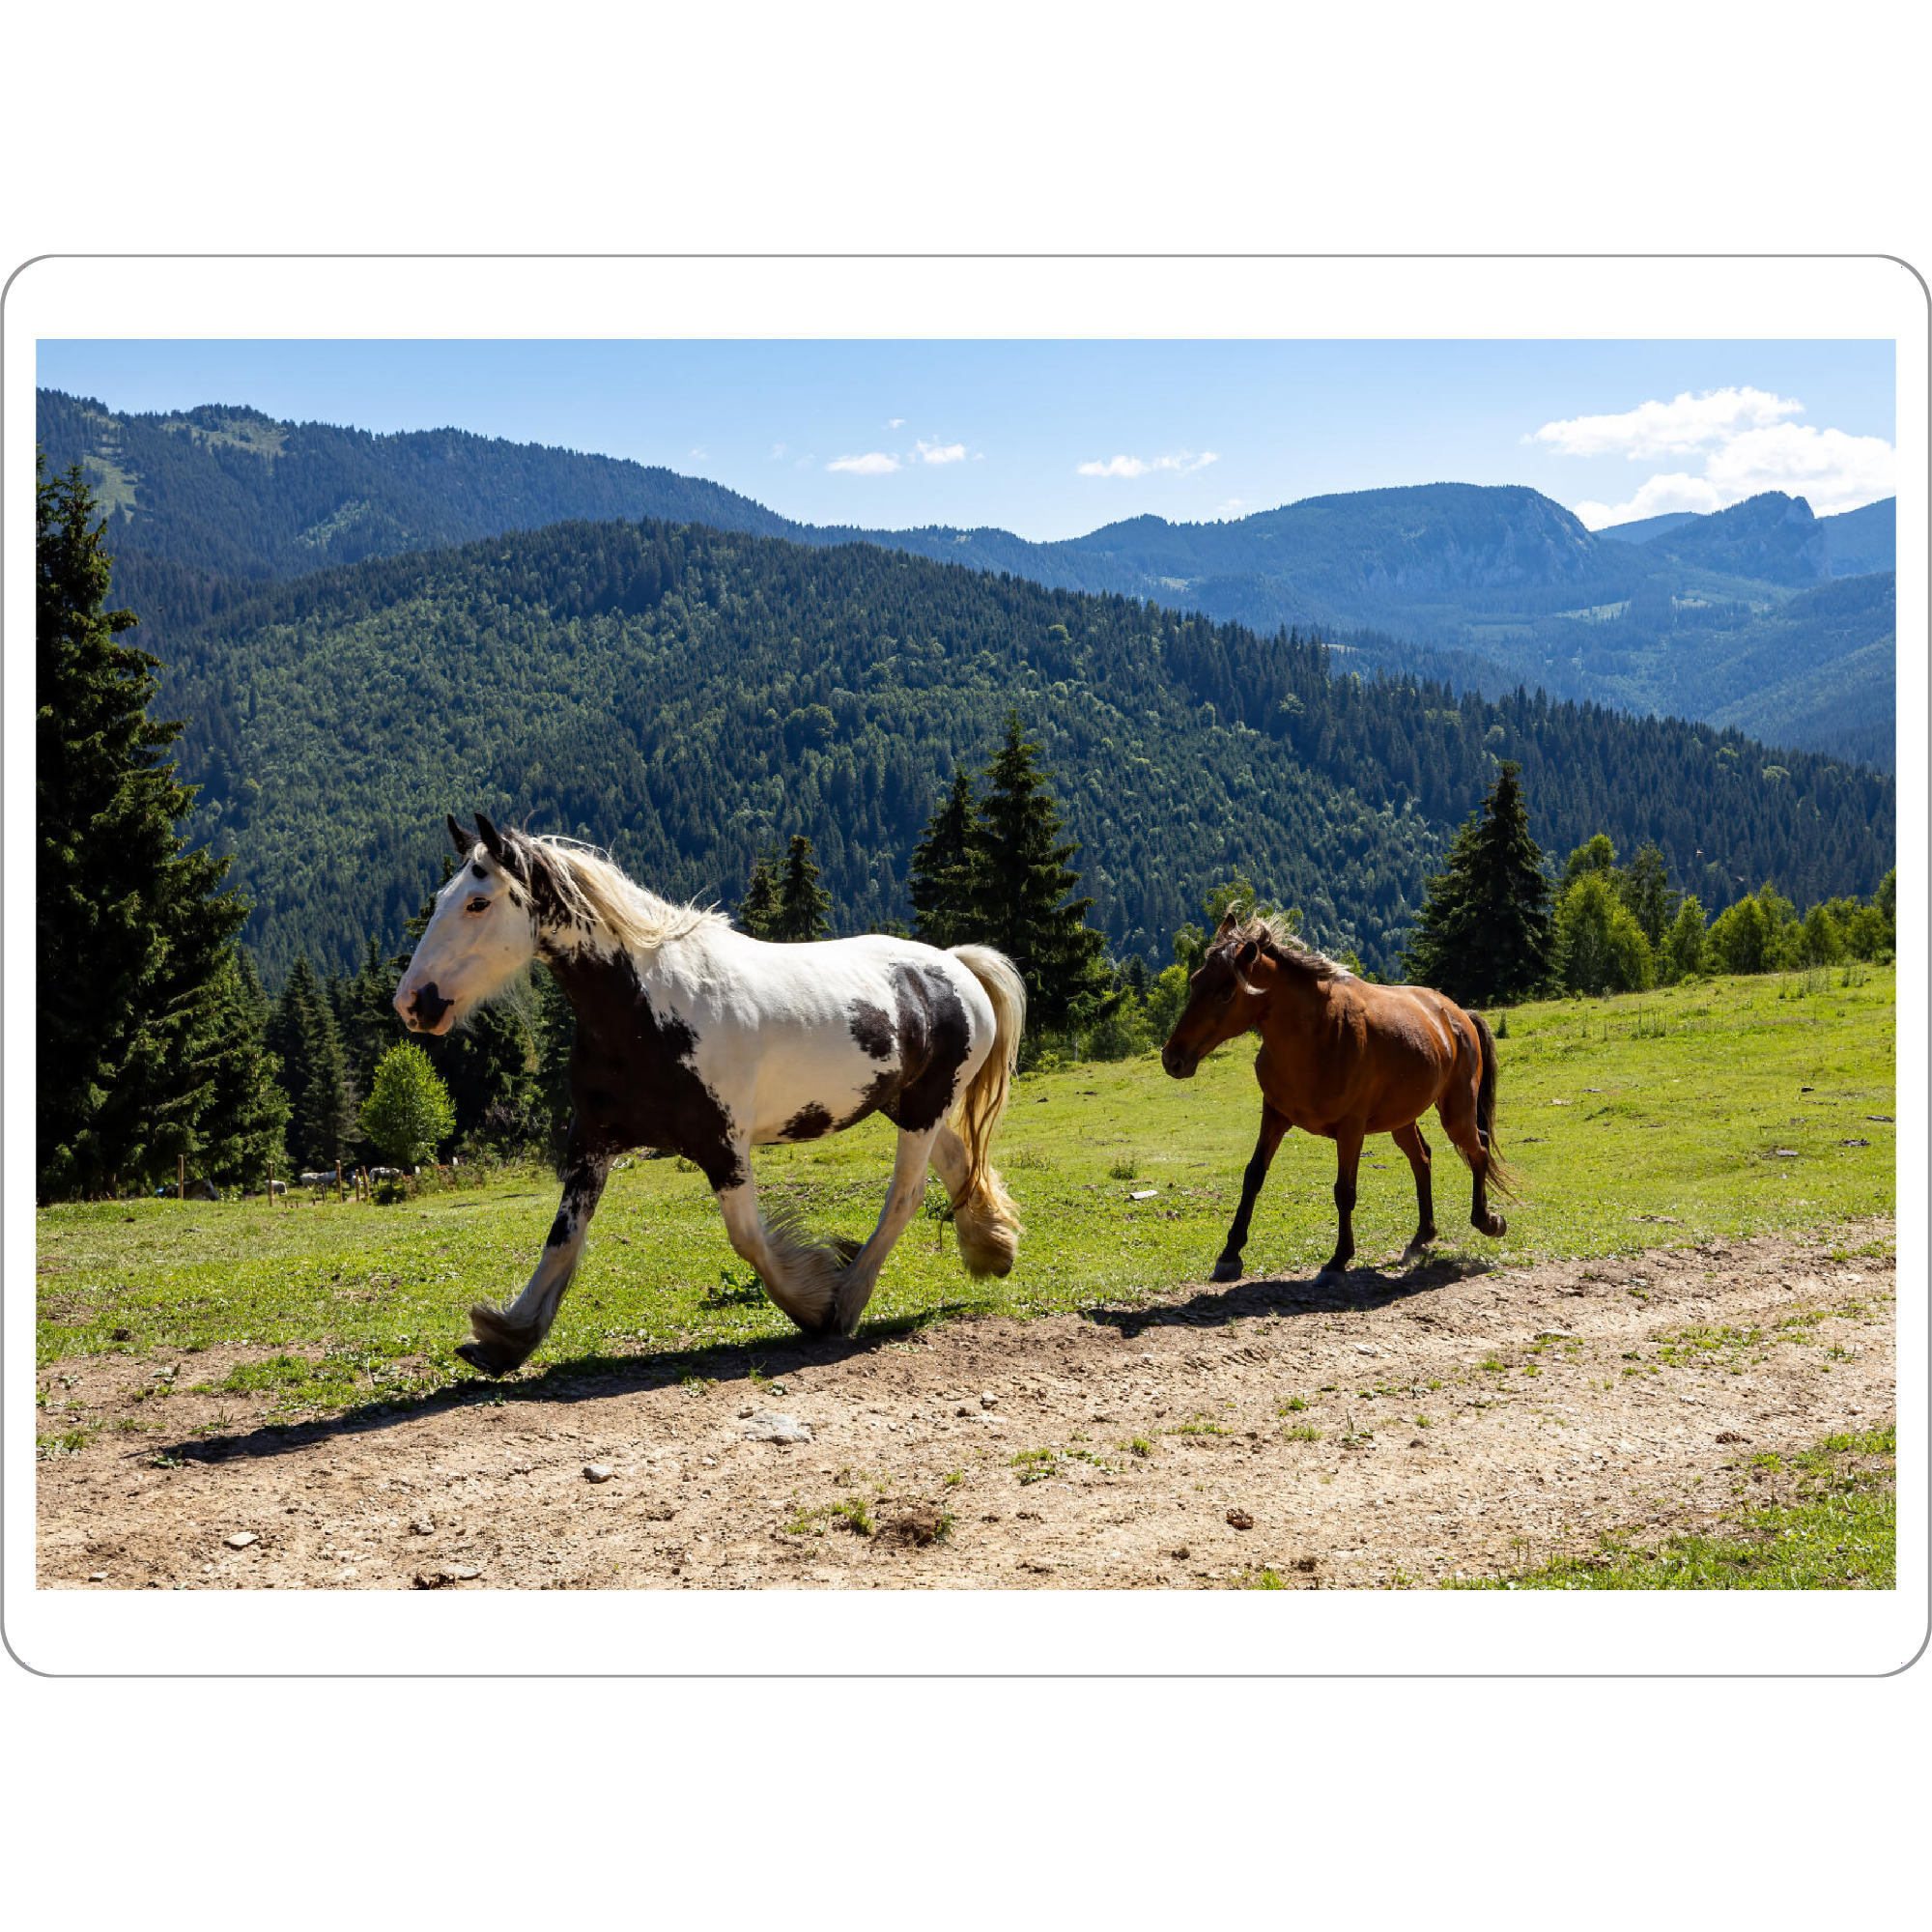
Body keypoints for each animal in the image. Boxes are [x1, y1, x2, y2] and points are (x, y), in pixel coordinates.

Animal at [394, 812, 1026, 1375]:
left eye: (478, 903)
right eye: (443, 897)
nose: (412, 1002)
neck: (648, 1008)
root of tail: (954, 966)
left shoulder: (722, 1145)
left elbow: (748, 1239)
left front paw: (813, 1302)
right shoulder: (593, 1142)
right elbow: (561, 1243)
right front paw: (505, 1340)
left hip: (922, 1107)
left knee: (906, 1196)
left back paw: (849, 1298)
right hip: (908, 1105)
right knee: (956, 1162)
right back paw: (992, 1248)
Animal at [1160, 910, 1509, 1282]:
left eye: (1226, 993)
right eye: (1195, 982)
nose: (1173, 1059)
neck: (1318, 1036)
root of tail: (1459, 1015)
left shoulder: (1351, 1128)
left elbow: (1345, 1191)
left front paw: (1339, 1258)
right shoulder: (1274, 1115)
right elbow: (1253, 1176)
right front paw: (1230, 1254)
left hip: (1455, 1114)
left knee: (1478, 1148)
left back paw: (1487, 1221)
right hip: (1402, 1119)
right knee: (1423, 1159)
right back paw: (1422, 1237)